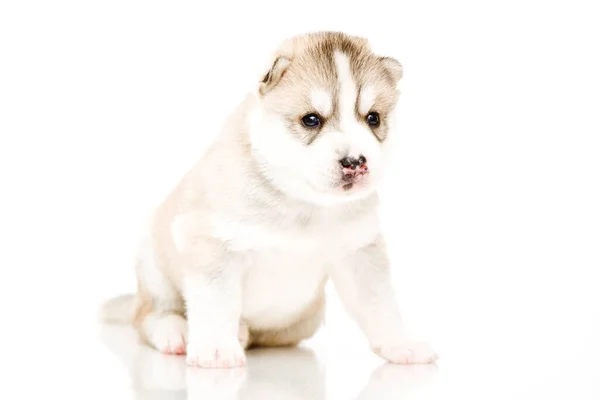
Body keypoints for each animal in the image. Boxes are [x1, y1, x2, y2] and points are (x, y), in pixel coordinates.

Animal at [101, 31, 438, 368]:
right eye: (311, 119)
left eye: (373, 118)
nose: (355, 162)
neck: (304, 204)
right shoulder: (213, 245)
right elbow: (217, 302)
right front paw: (215, 348)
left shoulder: (360, 252)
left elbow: (380, 304)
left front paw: (401, 344)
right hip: (153, 264)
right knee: (148, 314)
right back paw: (176, 331)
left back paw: (240, 332)